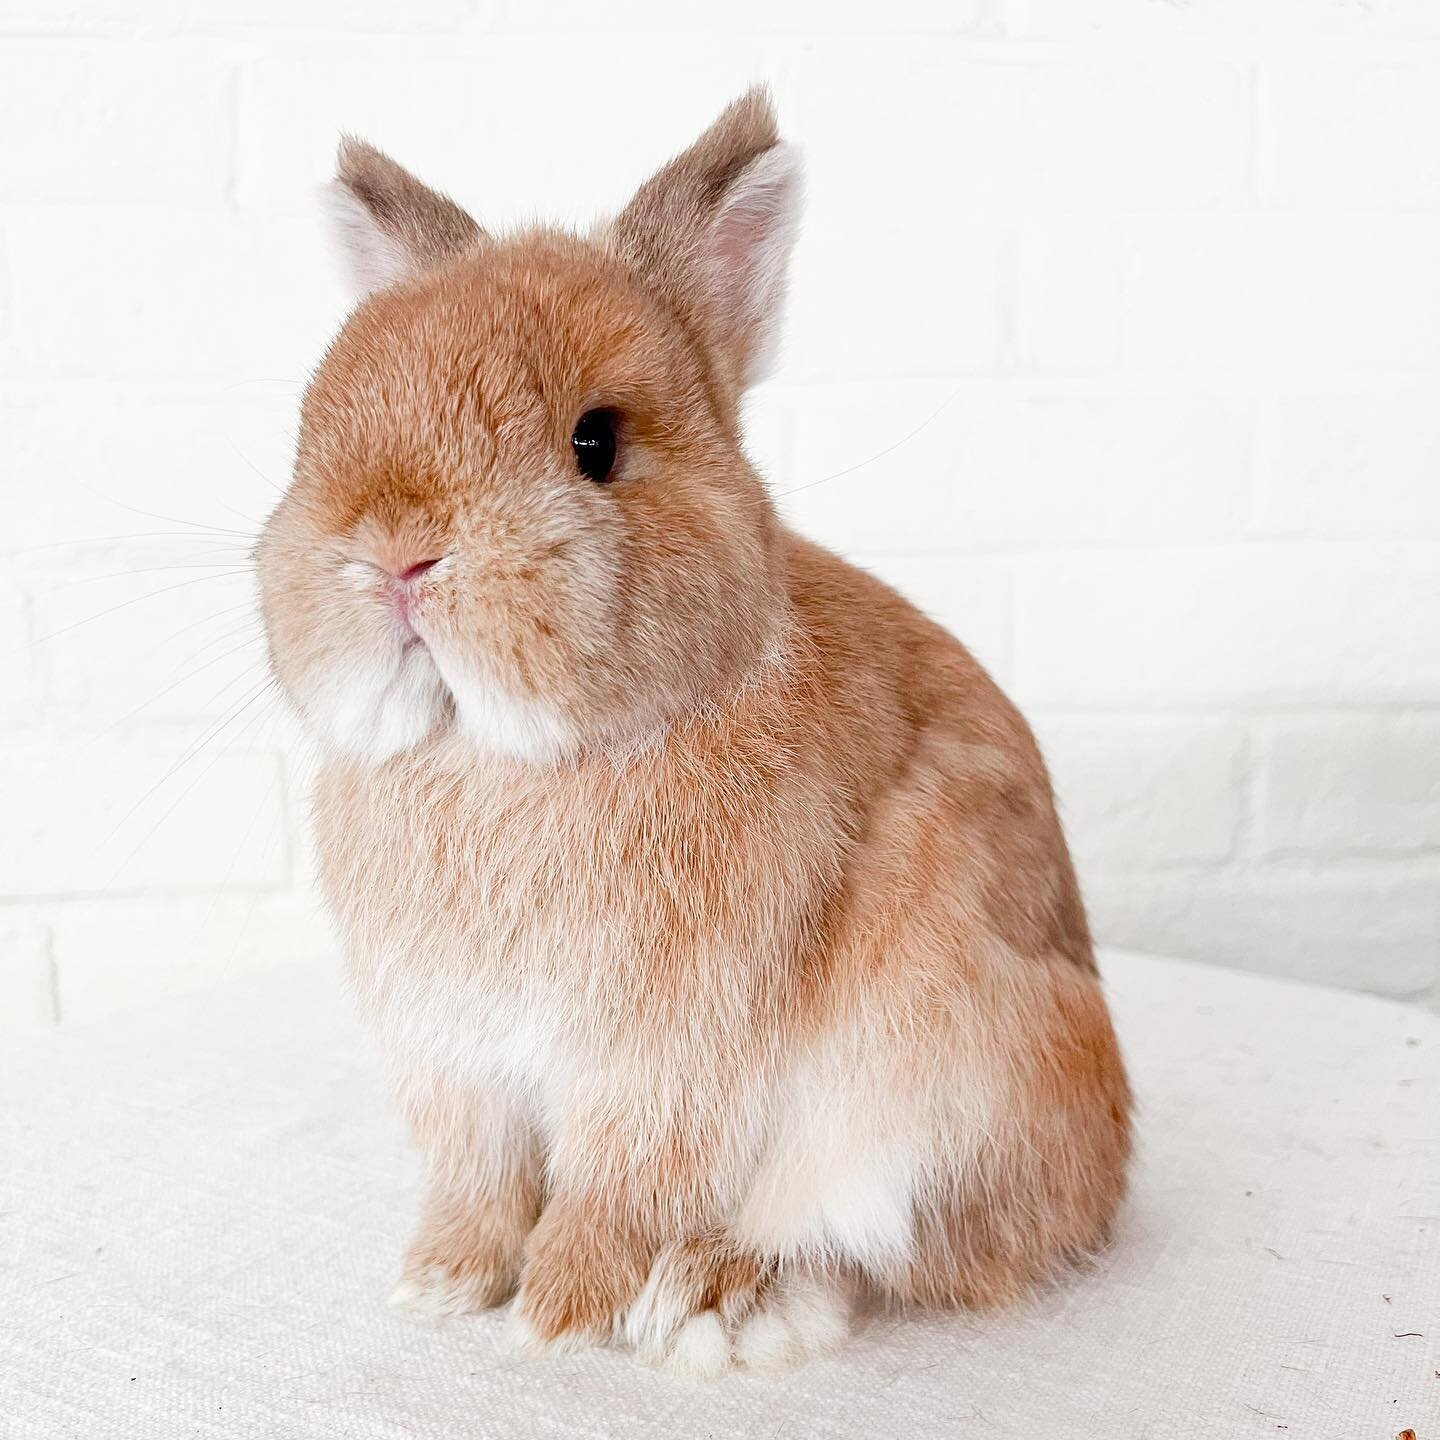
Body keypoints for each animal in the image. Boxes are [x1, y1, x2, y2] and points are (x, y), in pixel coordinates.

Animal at [259, 84, 1134, 1376]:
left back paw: (726, 1296)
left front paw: (559, 1312)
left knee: (914, 1250)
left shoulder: (661, 1064)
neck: (499, 757)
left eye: (597, 443)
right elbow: (481, 1177)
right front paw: (445, 1280)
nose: (396, 554)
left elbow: (618, 1188)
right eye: (320, 422)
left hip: (942, 1063)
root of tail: (1111, 1175)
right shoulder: (460, 1068)